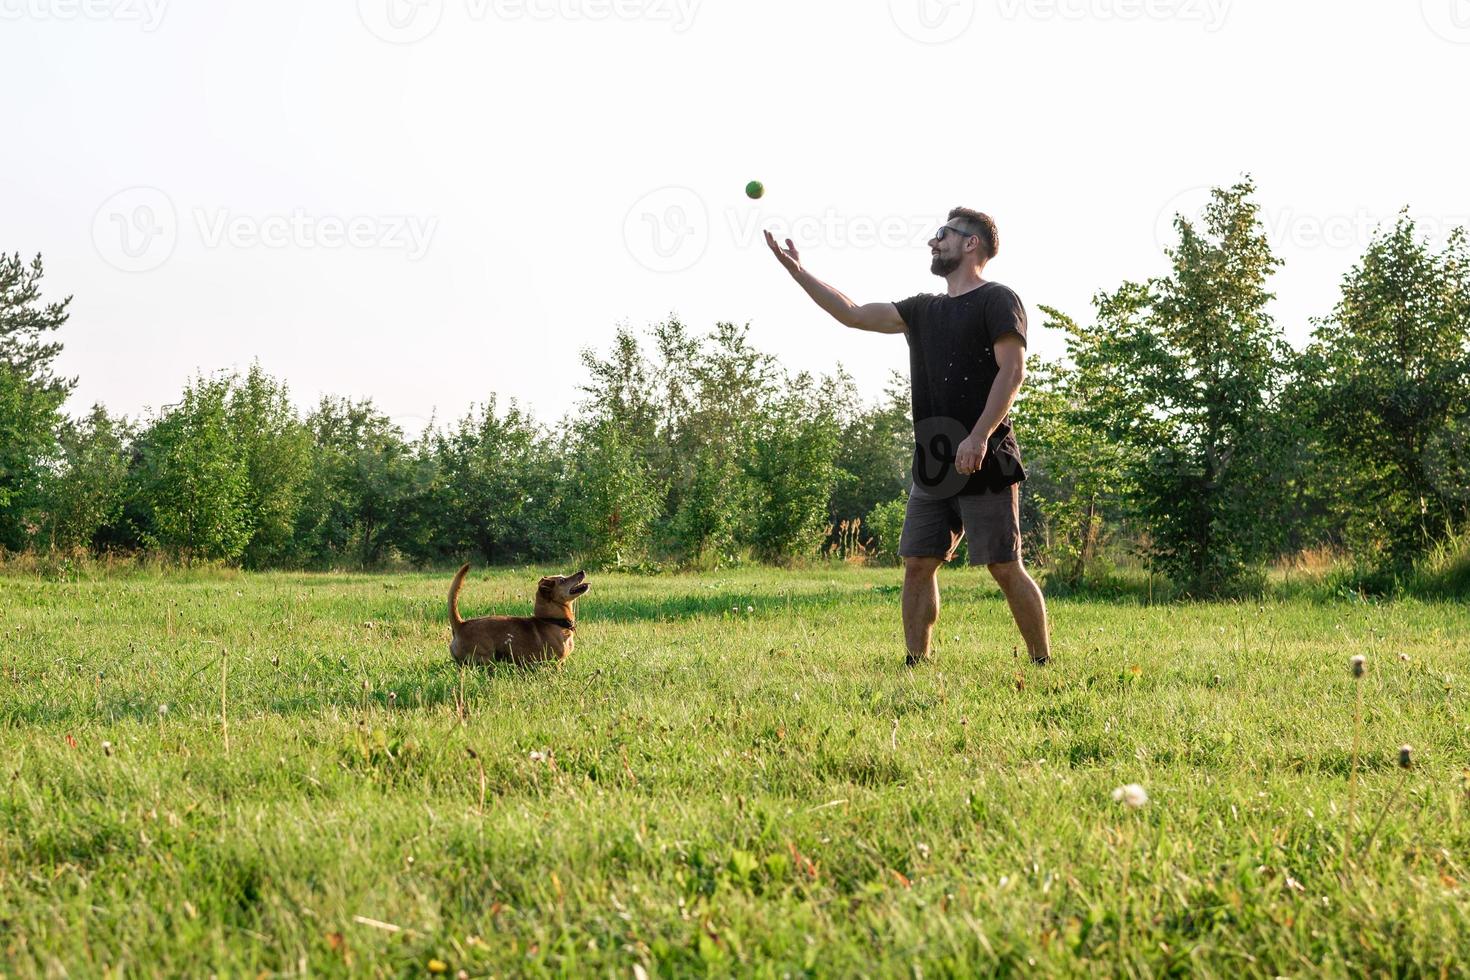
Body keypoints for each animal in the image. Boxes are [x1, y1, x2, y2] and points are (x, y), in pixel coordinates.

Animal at [443, 567, 588, 667]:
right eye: (562, 580)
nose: (582, 571)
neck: (553, 621)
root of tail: (461, 625)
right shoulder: (554, 663)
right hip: (485, 660)